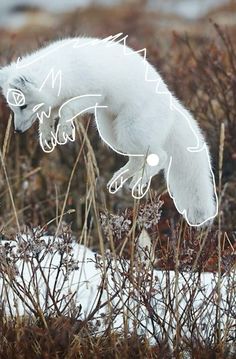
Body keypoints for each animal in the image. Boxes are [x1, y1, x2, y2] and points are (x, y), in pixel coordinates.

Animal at [0, 33, 218, 225]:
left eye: (23, 106)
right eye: (12, 107)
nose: (17, 131)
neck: (62, 70)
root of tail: (172, 105)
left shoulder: (93, 94)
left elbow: (67, 108)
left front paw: (64, 130)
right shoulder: (55, 102)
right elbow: (49, 116)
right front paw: (47, 136)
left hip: (130, 130)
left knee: (160, 156)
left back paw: (139, 181)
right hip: (112, 134)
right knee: (137, 159)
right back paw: (119, 180)